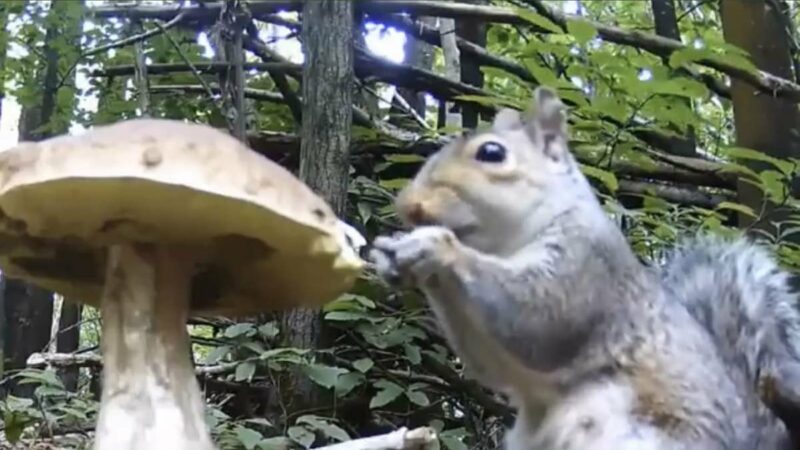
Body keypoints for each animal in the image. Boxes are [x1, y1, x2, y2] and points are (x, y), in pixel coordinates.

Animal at [372, 87, 800, 450]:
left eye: (492, 153)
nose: (407, 204)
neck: (507, 246)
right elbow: (488, 363)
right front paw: (394, 255)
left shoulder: (584, 268)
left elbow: (539, 320)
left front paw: (435, 246)